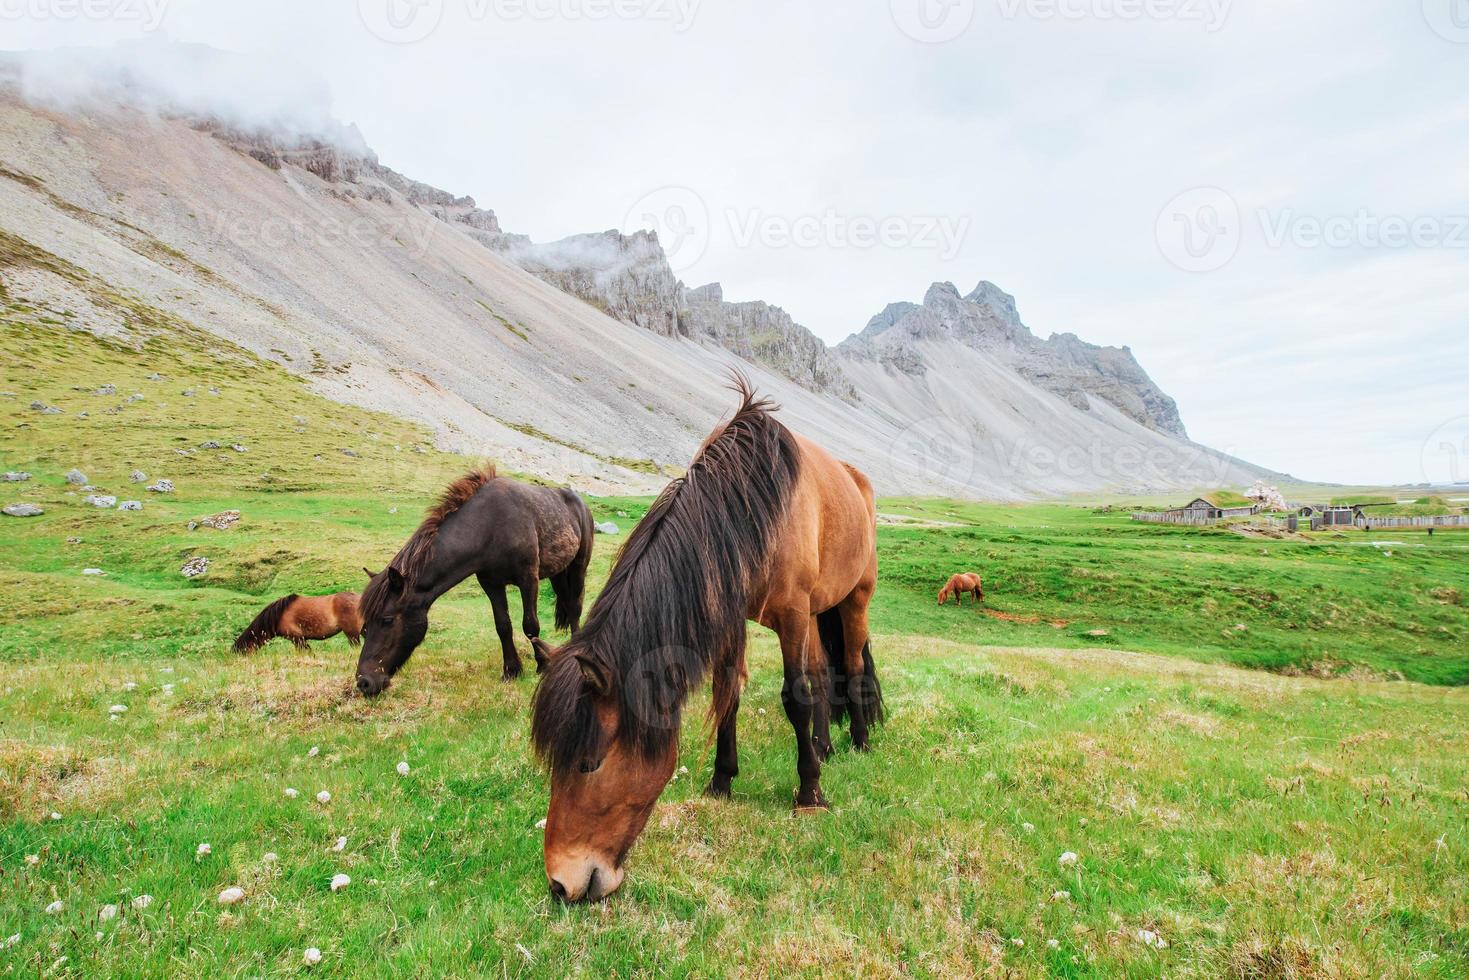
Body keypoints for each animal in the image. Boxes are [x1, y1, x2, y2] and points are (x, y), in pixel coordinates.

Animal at [354, 467, 590, 696]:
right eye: (366, 626)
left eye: (387, 620)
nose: (364, 682)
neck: (491, 526)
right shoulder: (491, 584)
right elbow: (503, 625)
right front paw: (511, 670)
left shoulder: (528, 579)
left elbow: (530, 626)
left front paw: (541, 665)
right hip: (558, 573)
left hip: (578, 567)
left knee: (574, 608)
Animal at [531, 379, 881, 905]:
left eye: (589, 764)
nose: (559, 883)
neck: (754, 506)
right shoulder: (733, 616)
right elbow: (729, 696)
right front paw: (722, 780)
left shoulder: (792, 615)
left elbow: (794, 698)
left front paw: (809, 795)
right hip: (818, 612)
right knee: (823, 673)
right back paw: (823, 747)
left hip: (852, 600)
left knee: (853, 668)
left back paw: (857, 741)